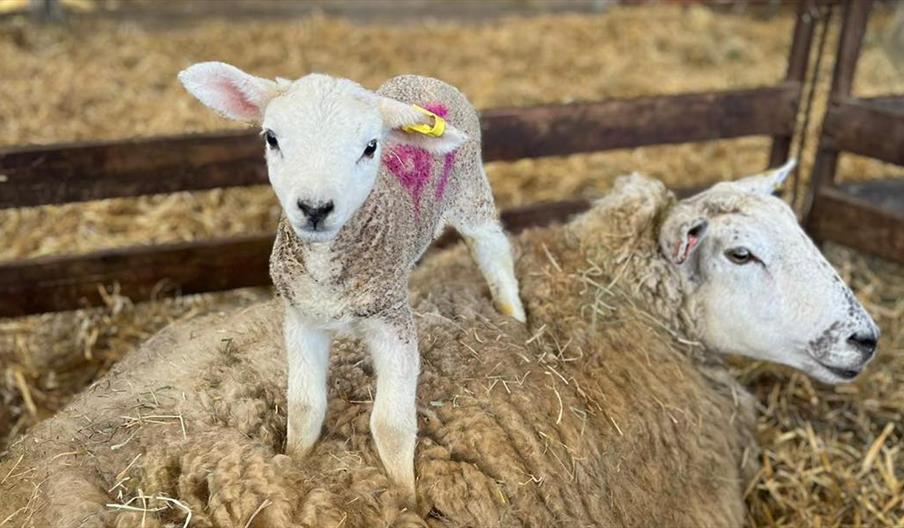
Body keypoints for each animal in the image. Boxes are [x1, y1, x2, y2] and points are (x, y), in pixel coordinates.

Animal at [178, 63, 526, 500]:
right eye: (272, 137)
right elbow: (305, 406)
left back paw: (515, 316)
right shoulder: (301, 318)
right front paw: (297, 463)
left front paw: (405, 495)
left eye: (371, 147)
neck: (327, 268)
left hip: (470, 192)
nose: (315, 208)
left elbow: (391, 425)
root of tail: (426, 79)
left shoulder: (393, 323)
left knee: (493, 250)